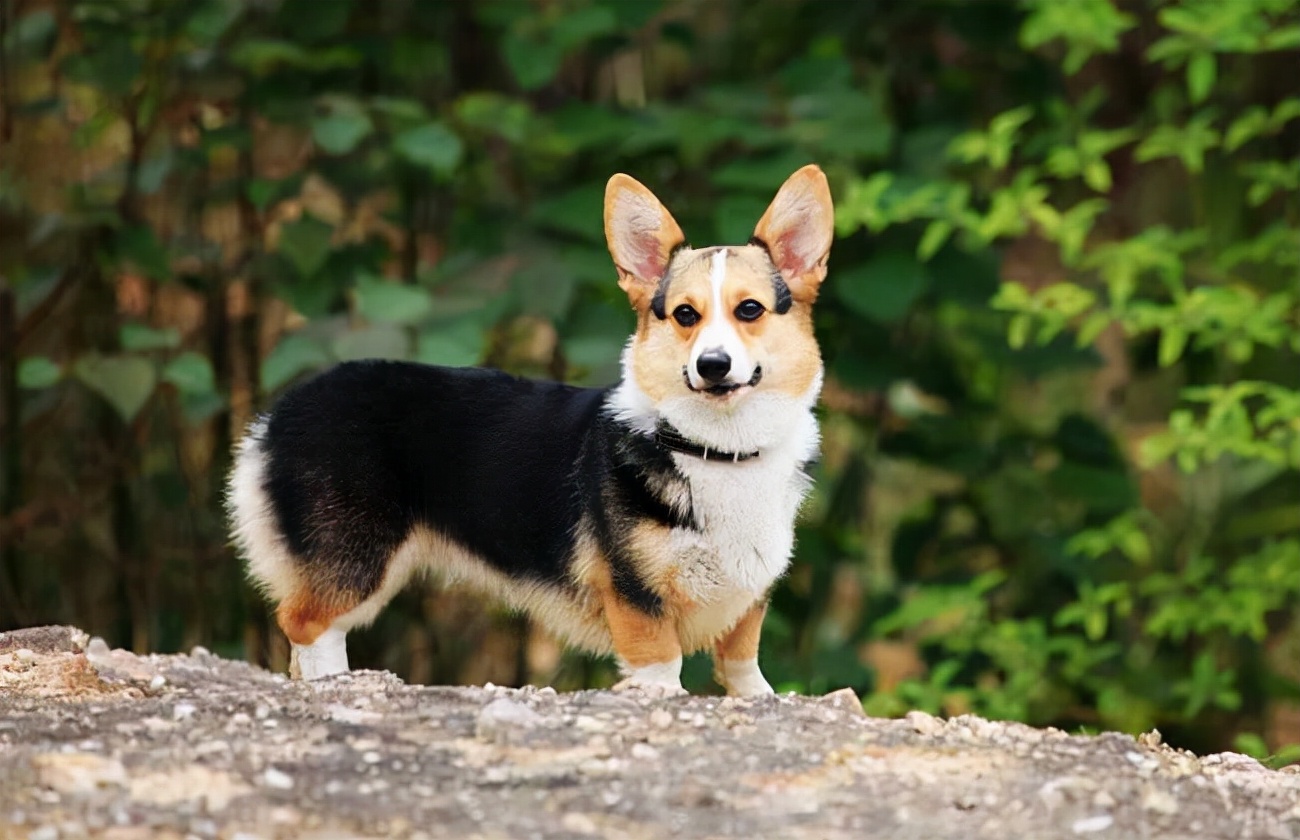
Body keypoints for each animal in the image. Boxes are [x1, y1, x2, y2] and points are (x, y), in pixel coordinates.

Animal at [226, 164, 832, 696]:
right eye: (685, 315)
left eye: (749, 310)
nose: (712, 365)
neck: (714, 449)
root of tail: (280, 413)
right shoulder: (638, 601)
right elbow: (662, 671)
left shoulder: (747, 602)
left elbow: (743, 669)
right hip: (356, 559)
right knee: (307, 626)